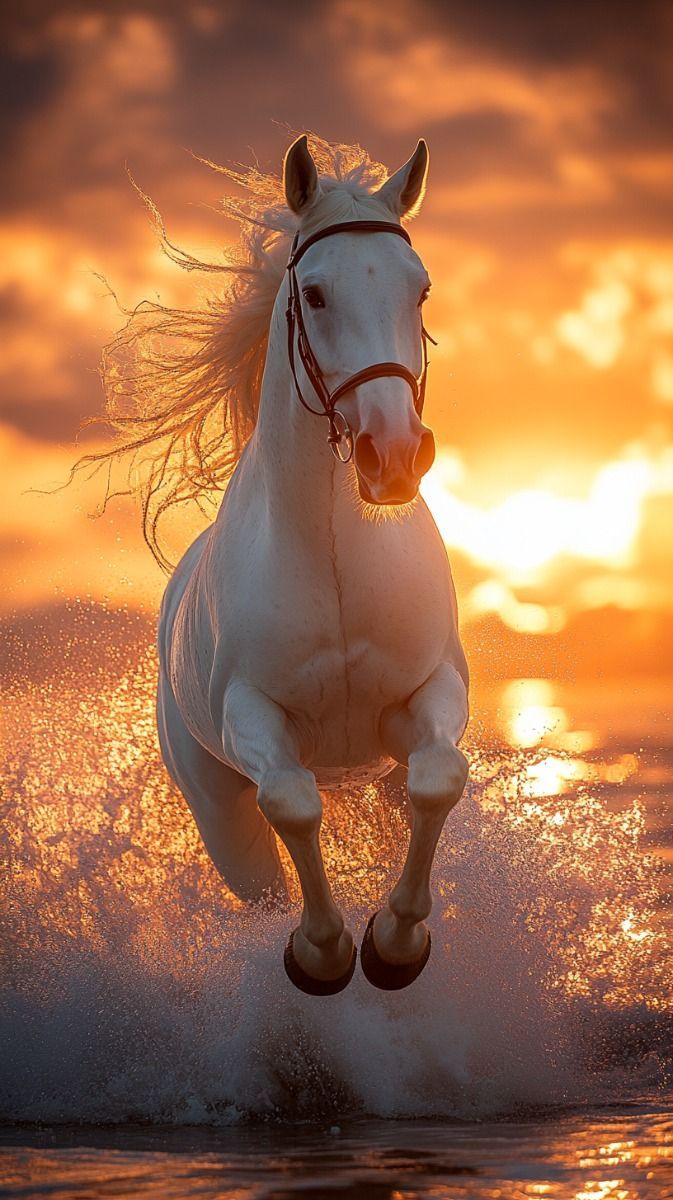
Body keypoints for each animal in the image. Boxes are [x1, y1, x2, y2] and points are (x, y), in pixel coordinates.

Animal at [156, 135, 469, 995]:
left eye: (420, 289)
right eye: (317, 295)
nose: (393, 455)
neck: (335, 554)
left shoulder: (428, 696)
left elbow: (440, 778)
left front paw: (394, 944)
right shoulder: (255, 715)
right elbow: (295, 803)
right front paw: (324, 954)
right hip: (219, 813)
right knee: (262, 875)